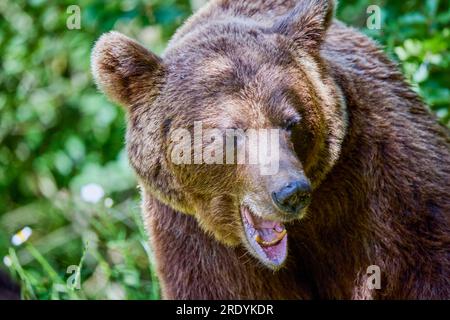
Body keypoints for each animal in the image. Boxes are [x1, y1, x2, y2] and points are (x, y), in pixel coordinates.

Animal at [91, 0, 450, 300]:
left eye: (291, 123)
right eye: (231, 132)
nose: (291, 192)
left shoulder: (380, 178)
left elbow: (420, 261)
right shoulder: (191, 237)